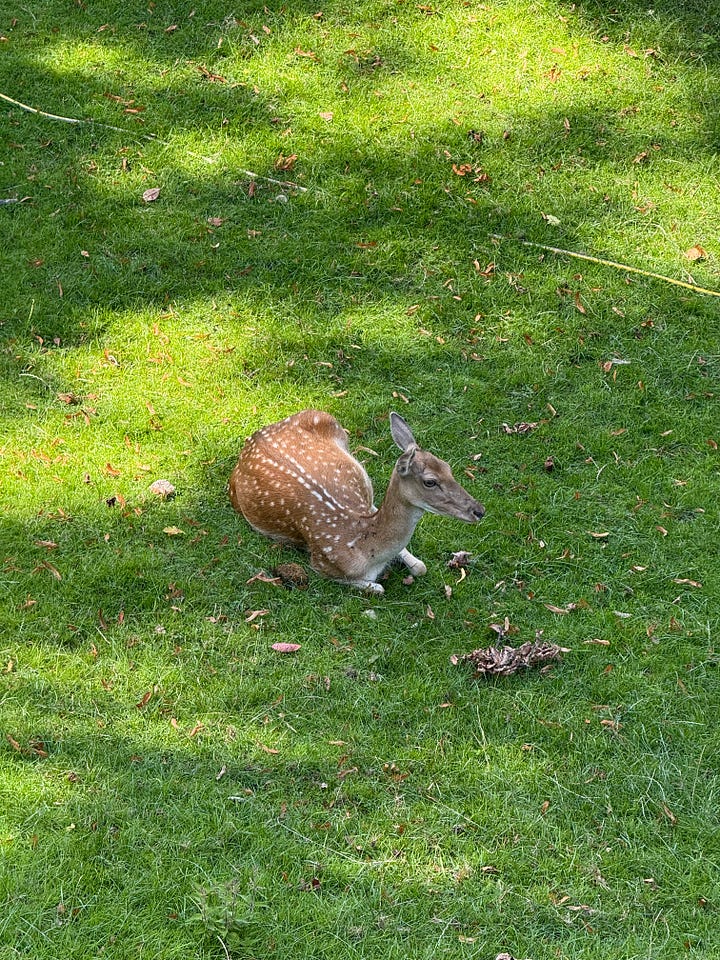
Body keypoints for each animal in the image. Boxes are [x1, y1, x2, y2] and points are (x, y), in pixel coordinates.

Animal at [229, 409, 485, 594]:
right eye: (430, 481)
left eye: (448, 467)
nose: (479, 510)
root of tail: (254, 437)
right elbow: (378, 588)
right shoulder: (321, 563)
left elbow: (420, 567)